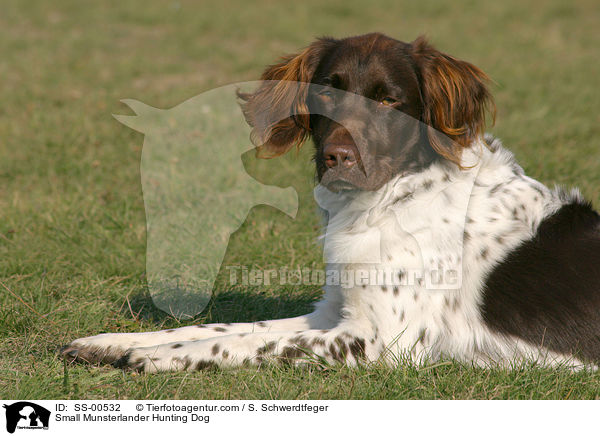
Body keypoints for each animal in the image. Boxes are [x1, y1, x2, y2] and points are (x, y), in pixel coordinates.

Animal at [62, 32, 600, 372]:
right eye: (326, 91)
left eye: (388, 100)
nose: (335, 157)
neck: (391, 199)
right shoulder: (333, 312)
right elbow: (223, 325)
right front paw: (111, 342)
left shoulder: (378, 341)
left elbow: (245, 341)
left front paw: (156, 358)